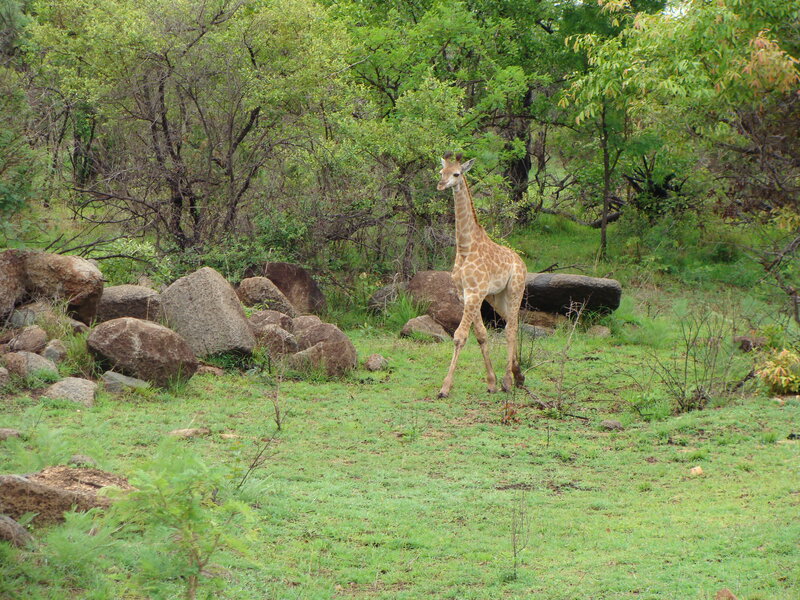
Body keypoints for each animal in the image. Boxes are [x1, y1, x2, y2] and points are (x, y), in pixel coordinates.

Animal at [436, 152, 527, 398]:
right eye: (441, 171)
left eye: (457, 174)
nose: (441, 184)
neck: (466, 248)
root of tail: (522, 263)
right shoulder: (466, 294)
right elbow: (481, 334)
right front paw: (491, 382)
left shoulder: (475, 293)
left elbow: (460, 336)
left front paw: (445, 388)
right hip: (497, 297)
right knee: (513, 323)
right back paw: (518, 375)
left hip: (515, 289)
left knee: (510, 329)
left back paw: (509, 381)